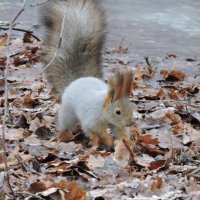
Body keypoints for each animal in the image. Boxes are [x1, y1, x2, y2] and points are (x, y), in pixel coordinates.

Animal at [40, 0, 134, 145]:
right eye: (118, 111)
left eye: (131, 107)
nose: (130, 123)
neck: (103, 108)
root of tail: (77, 80)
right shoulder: (92, 119)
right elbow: (98, 130)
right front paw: (108, 141)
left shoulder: (116, 125)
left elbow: (120, 132)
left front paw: (125, 142)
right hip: (68, 113)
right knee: (72, 125)